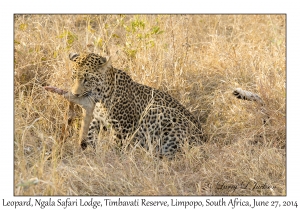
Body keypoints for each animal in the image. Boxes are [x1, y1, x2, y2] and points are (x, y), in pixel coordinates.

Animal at [45, 52, 204, 158]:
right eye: (73, 77)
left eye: (87, 79)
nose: (75, 94)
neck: (102, 97)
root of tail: (203, 139)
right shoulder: (98, 119)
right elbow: (91, 131)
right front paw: (90, 147)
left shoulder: (123, 126)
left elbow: (117, 144)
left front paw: (112, 156)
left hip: (165, 118)